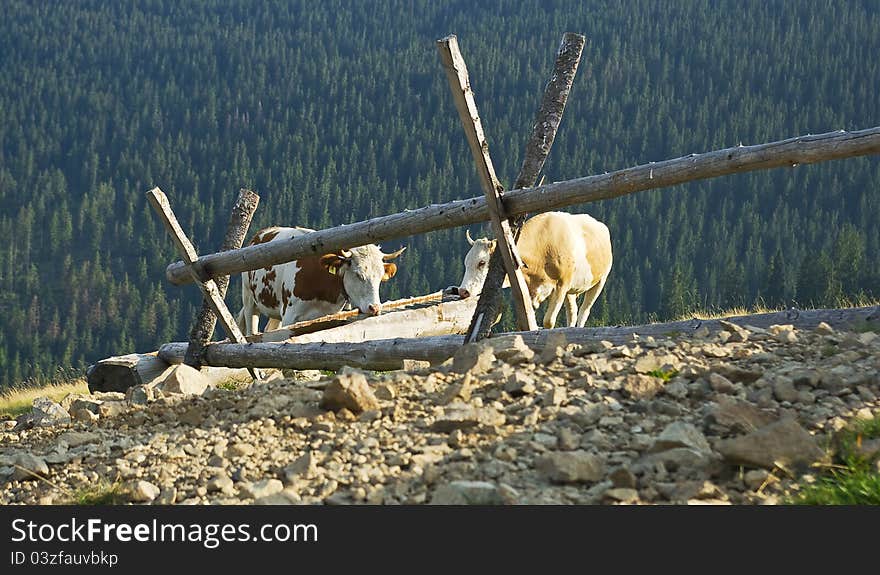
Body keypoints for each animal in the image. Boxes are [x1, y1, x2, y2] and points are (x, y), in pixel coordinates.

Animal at [237, 226, 410, 338]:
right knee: (251, 331)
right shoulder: (290, 316)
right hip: (249, 298)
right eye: (358, 274)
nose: (374, 308)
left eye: (380, 277)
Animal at [454, 212, 612, 328]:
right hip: (571, 291)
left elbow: (548, 321)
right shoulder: (530, 290)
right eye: (466, 262)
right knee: (572, 313)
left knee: (584, 312)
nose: (463, 291)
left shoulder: (561, 284)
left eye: (481, 263)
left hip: (600, 281)